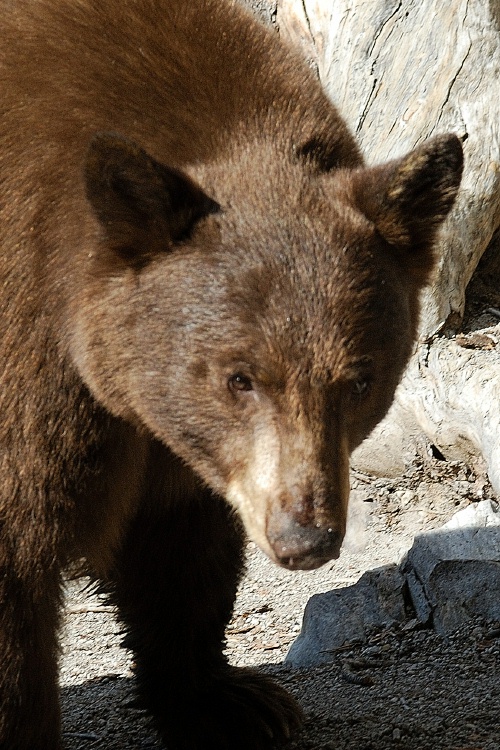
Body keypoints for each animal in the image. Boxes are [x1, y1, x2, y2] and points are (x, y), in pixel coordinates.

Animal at [0, 1, 464, 750]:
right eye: (239, 378)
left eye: (359, 380)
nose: (306, 538)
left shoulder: (177, 439)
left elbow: (182, 543)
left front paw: (231, 702)